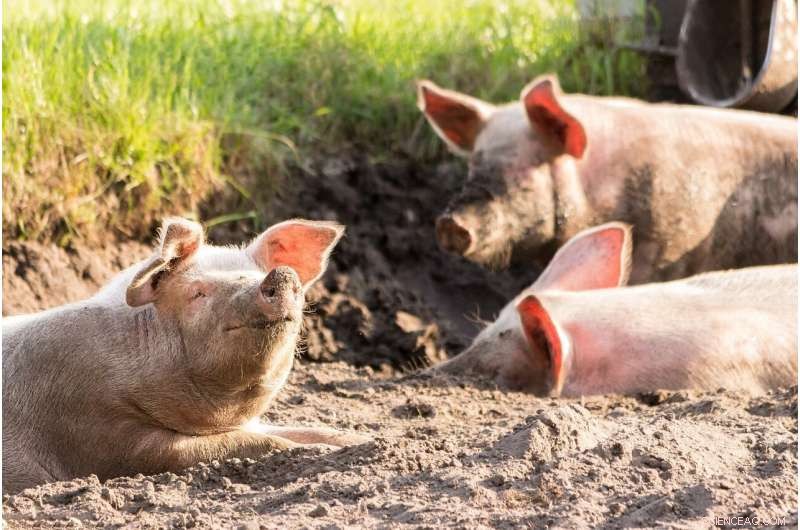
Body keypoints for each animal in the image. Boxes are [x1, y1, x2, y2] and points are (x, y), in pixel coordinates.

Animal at [2, 217, 367, 494]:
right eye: (197, 293)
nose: (280, 273)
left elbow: (304, 430)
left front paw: (363, 440)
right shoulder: (97, 431)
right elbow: (246, 444)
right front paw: (318, 451)